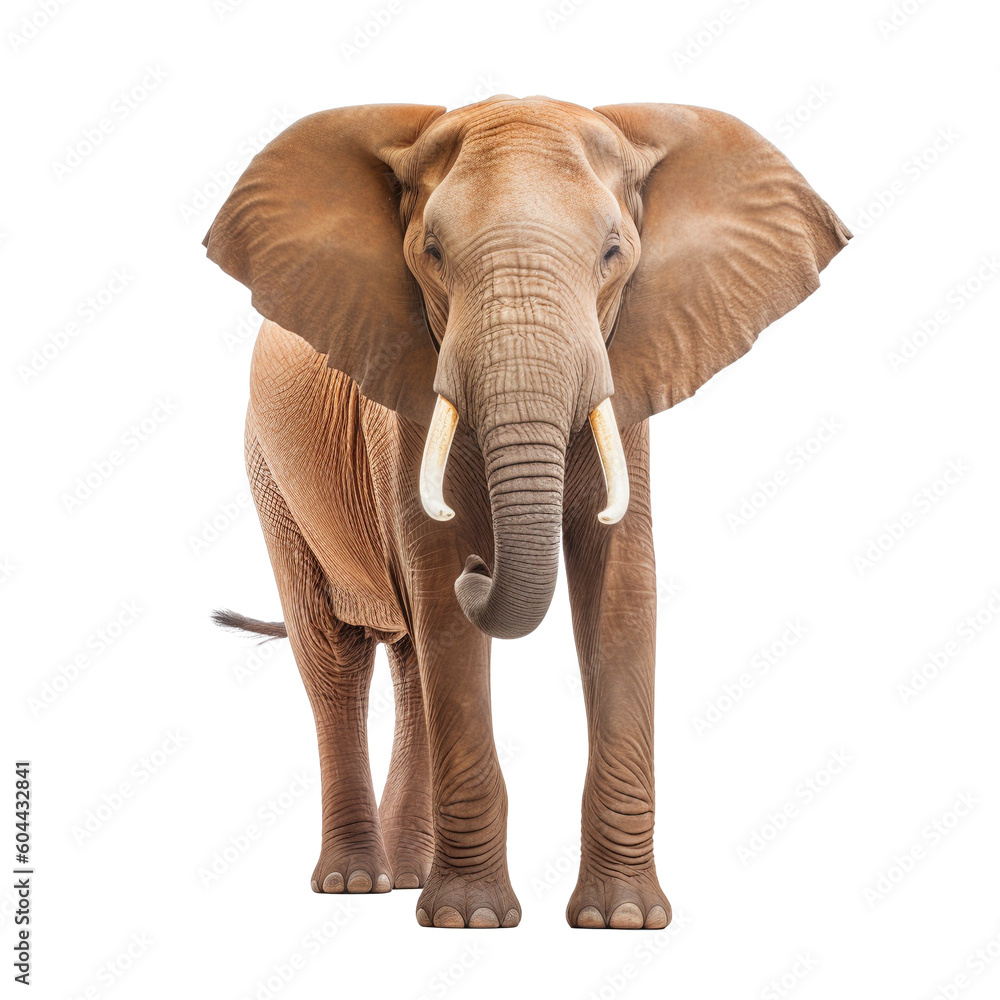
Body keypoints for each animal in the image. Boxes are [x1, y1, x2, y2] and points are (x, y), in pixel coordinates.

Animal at [203, 95, 850, 929]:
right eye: (433, 253)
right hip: (272, 476)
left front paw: (622, 921)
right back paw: (356, 883)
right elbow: (439, 588)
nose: (485, 565)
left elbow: (621, 584)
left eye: (613, 253)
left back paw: (407, 876)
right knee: (338, 655)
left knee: (410, 663)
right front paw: (470, 920)